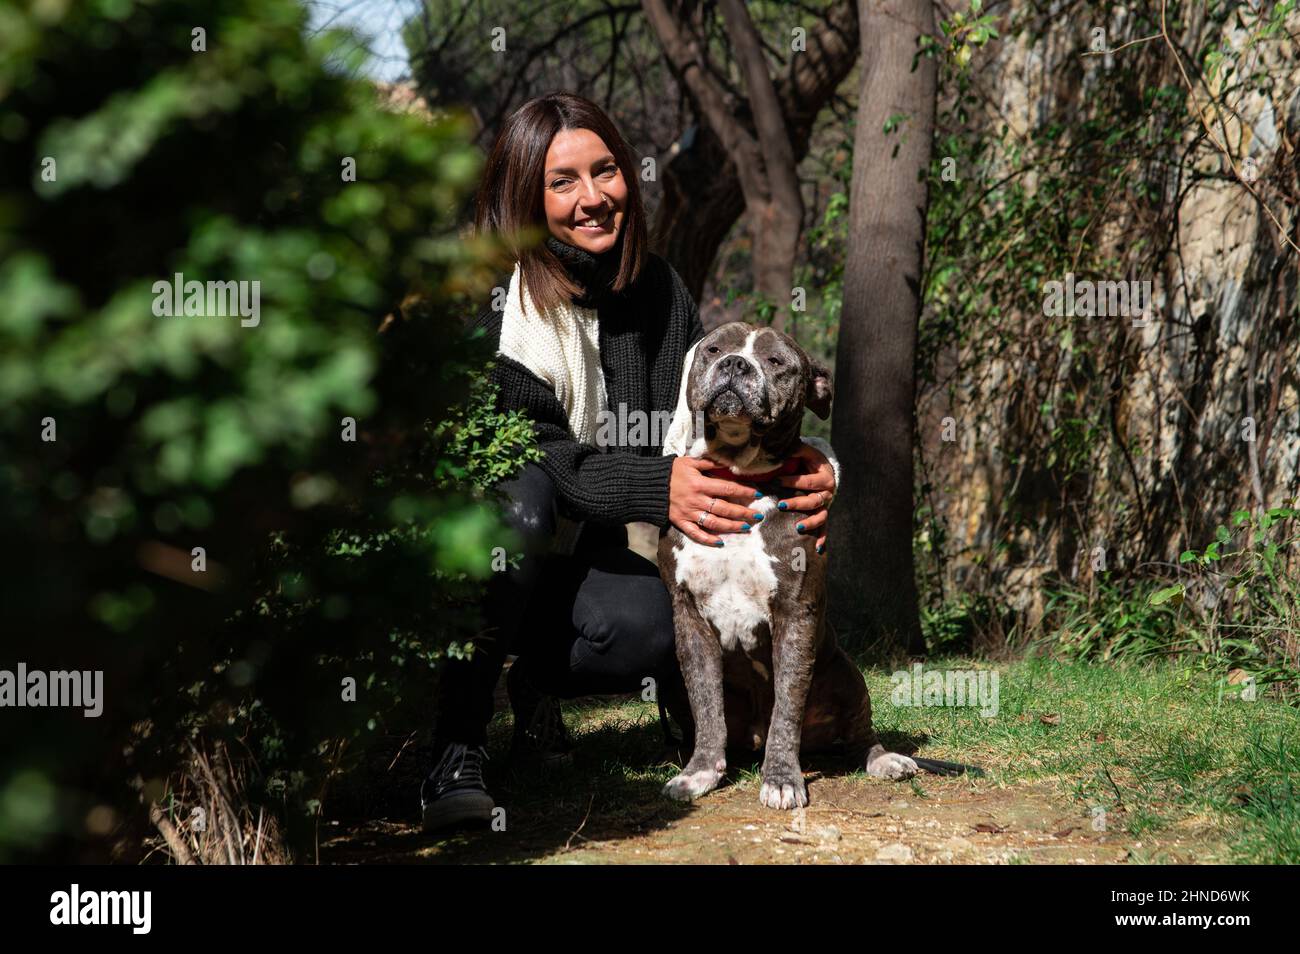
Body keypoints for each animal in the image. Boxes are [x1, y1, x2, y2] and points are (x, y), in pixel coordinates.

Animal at [660, 324, 935, 811]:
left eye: (777, 362)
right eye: (713, 348)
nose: (735, 364)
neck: (740, 477)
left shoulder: (795, 614)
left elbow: (787, 707)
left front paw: (783, 779)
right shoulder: (689, 617)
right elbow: (707, 704)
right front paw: (698, 773)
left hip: (847, 672)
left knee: (860, 734)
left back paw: (886, 760)